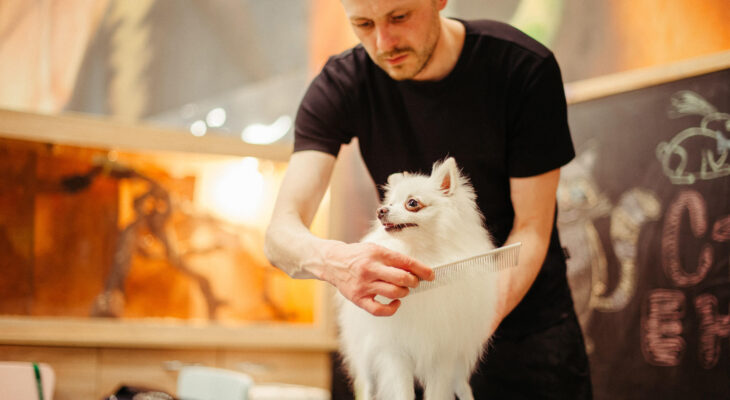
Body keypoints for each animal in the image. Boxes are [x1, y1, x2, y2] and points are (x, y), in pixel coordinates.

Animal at [336, 158, 498, 400]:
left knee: (462, 386)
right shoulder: (394, 352)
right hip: (366, 357)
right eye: (389, 203)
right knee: (368, 385)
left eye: (412, 203)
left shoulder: (444, 354)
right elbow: (402, 391)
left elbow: (438, 392)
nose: (380, 210)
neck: (421, 254)